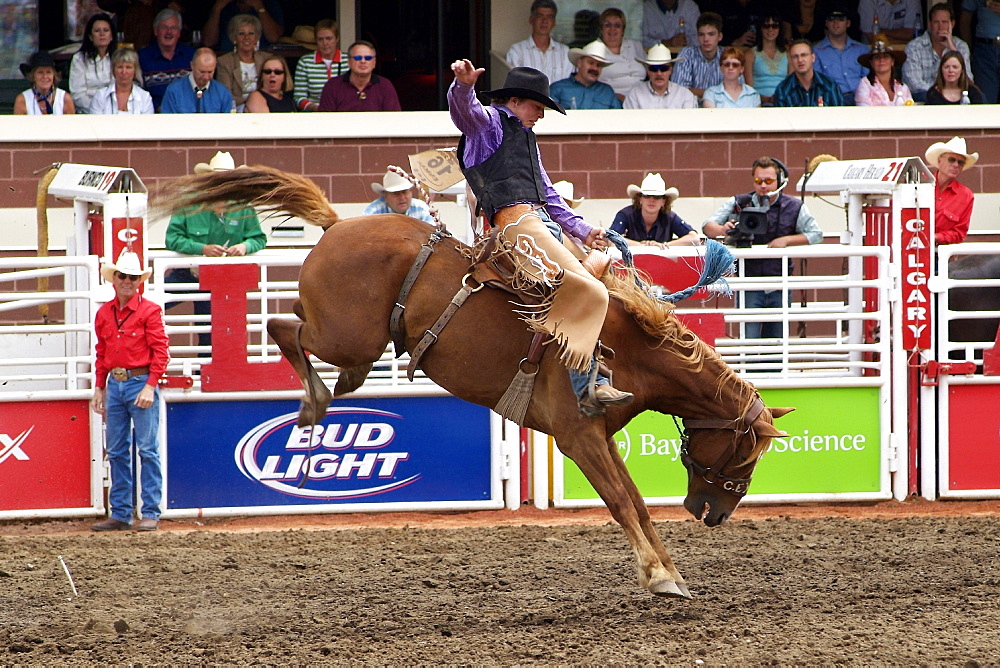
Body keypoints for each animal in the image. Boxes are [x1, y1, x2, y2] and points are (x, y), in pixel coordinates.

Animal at [160, 167, 792, 600]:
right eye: (745, 452)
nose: (714, 513)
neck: (627, 346)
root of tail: (341, 224)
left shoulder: (601, 434)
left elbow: (635, 498)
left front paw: (671, 572)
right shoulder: (576, 435)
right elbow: (619, 501)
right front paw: (659, 575)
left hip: (351, 345)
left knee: (304, 338)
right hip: (344, 337)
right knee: (281, 327)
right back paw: (315, 400)